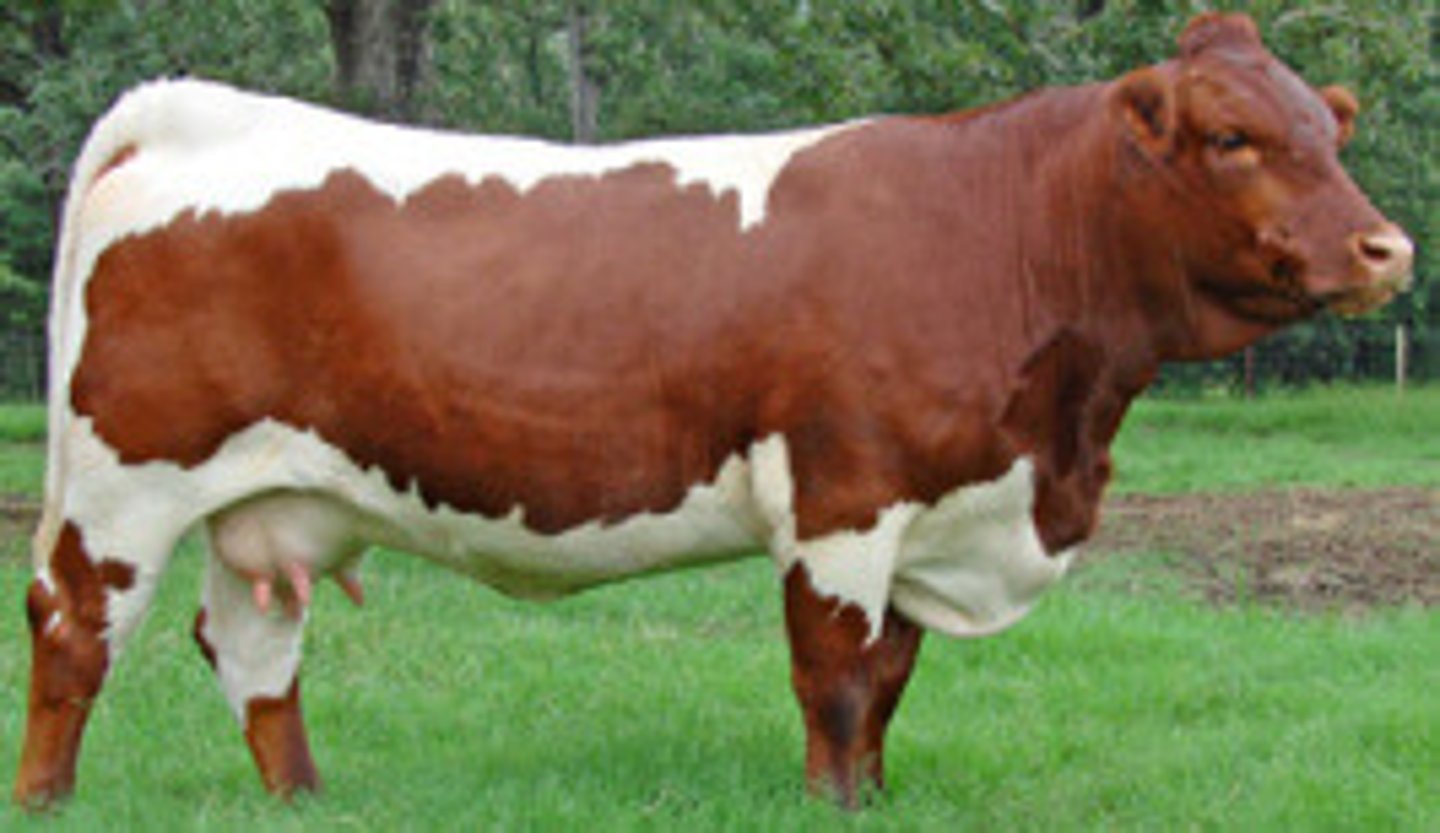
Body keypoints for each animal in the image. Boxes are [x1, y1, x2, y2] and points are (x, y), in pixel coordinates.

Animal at [14, 12, 1413, 810]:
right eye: (1231, 137)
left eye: (1329, 127)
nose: (1385, 247)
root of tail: (203, 108)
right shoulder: (845, 497)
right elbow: (836, 678)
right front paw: (831, 804)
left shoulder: (939, 501)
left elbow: (892, 680)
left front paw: (875, 799)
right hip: (125, 484)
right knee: (75, 632)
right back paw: (46, 800)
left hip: (263, 501)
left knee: (252, 647)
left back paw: (304, 801)